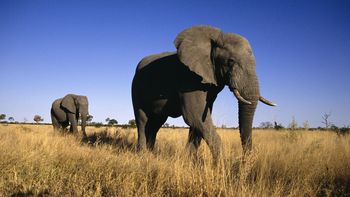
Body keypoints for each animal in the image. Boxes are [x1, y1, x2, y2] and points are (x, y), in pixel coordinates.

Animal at [132, 25, 276, 162]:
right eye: (230, 61)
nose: (244, 161)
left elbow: (199, 120)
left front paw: (191, 162)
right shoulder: (189, 77)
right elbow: (194, 116)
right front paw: (220, 166)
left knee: (157, 122)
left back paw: (151, 154)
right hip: (136, 88)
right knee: (142, 120)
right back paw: (143, 155)